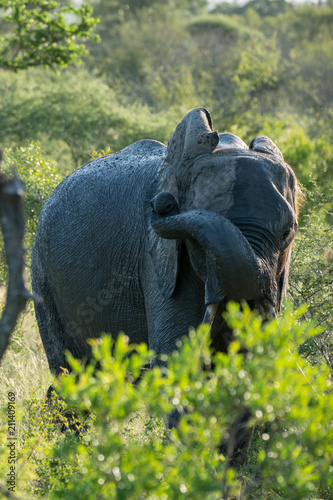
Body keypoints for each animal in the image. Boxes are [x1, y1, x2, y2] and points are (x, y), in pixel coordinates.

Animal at [29, 108, 296, 376]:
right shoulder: (158, 257)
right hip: (41, 271)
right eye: (198, 242)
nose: (162, 204)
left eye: (288, 233)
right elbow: (173, 352)